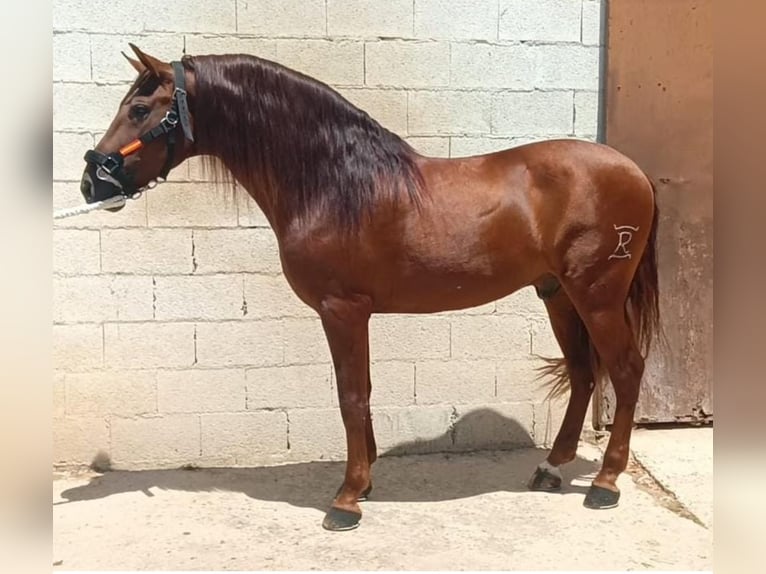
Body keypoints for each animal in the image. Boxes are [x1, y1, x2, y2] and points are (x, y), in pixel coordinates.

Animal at [81, 46, 664, 536]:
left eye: (140, 109)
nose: (92, 182)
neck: (333, 184)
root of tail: (635, 172)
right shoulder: (351, 313)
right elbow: (360, 391)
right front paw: (365, 481)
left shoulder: (343, 310)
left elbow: (350, 395)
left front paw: (346, 498)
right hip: (558, 295)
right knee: (585, 372)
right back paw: (550, 468)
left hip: (597, 296)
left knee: (626, 370)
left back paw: (605, 484)